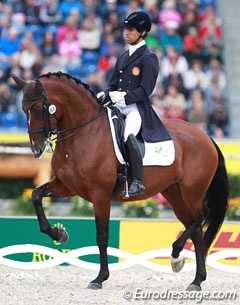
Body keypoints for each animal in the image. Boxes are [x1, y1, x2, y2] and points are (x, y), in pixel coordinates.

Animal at [11, 71, 229, 290]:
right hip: (175, 195)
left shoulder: (100, 194)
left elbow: (102, 236)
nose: (37, 149)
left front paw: (99, 278)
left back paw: (177, 256)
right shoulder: (66, 186)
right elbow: (36, 195)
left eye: (38, 108)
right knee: (196, 229)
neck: (83, 134)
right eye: (23, 109)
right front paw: (59, 234)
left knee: (201, 216)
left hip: (192, 192)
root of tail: (206, 137)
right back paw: (195, 278)